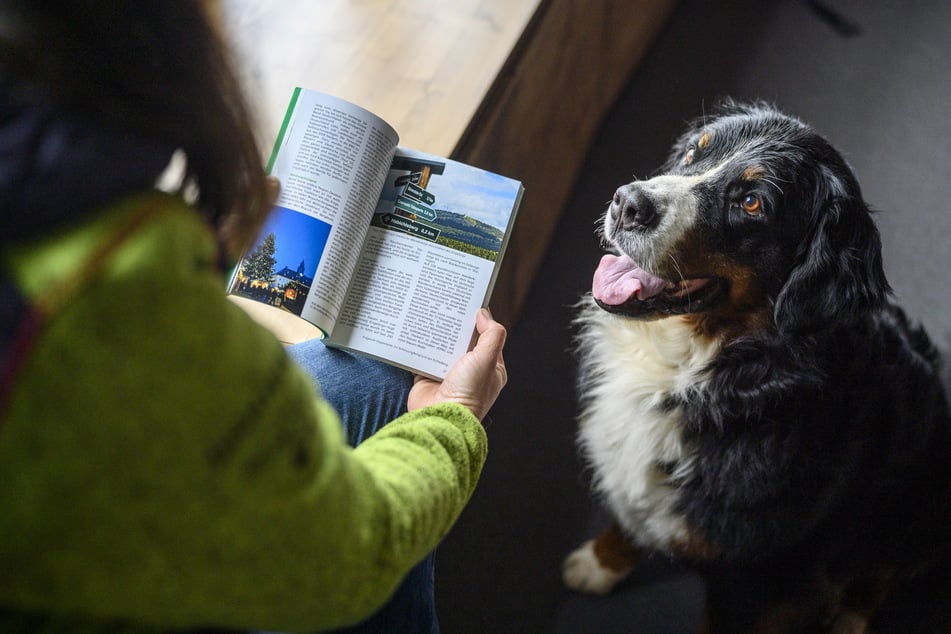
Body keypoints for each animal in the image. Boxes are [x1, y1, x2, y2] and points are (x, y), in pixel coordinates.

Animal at [560, 101, 951, 628]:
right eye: (692, 153)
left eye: (750, 203)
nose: (627, 202)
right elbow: (628, 515)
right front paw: (601, 564)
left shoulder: (751, 582)